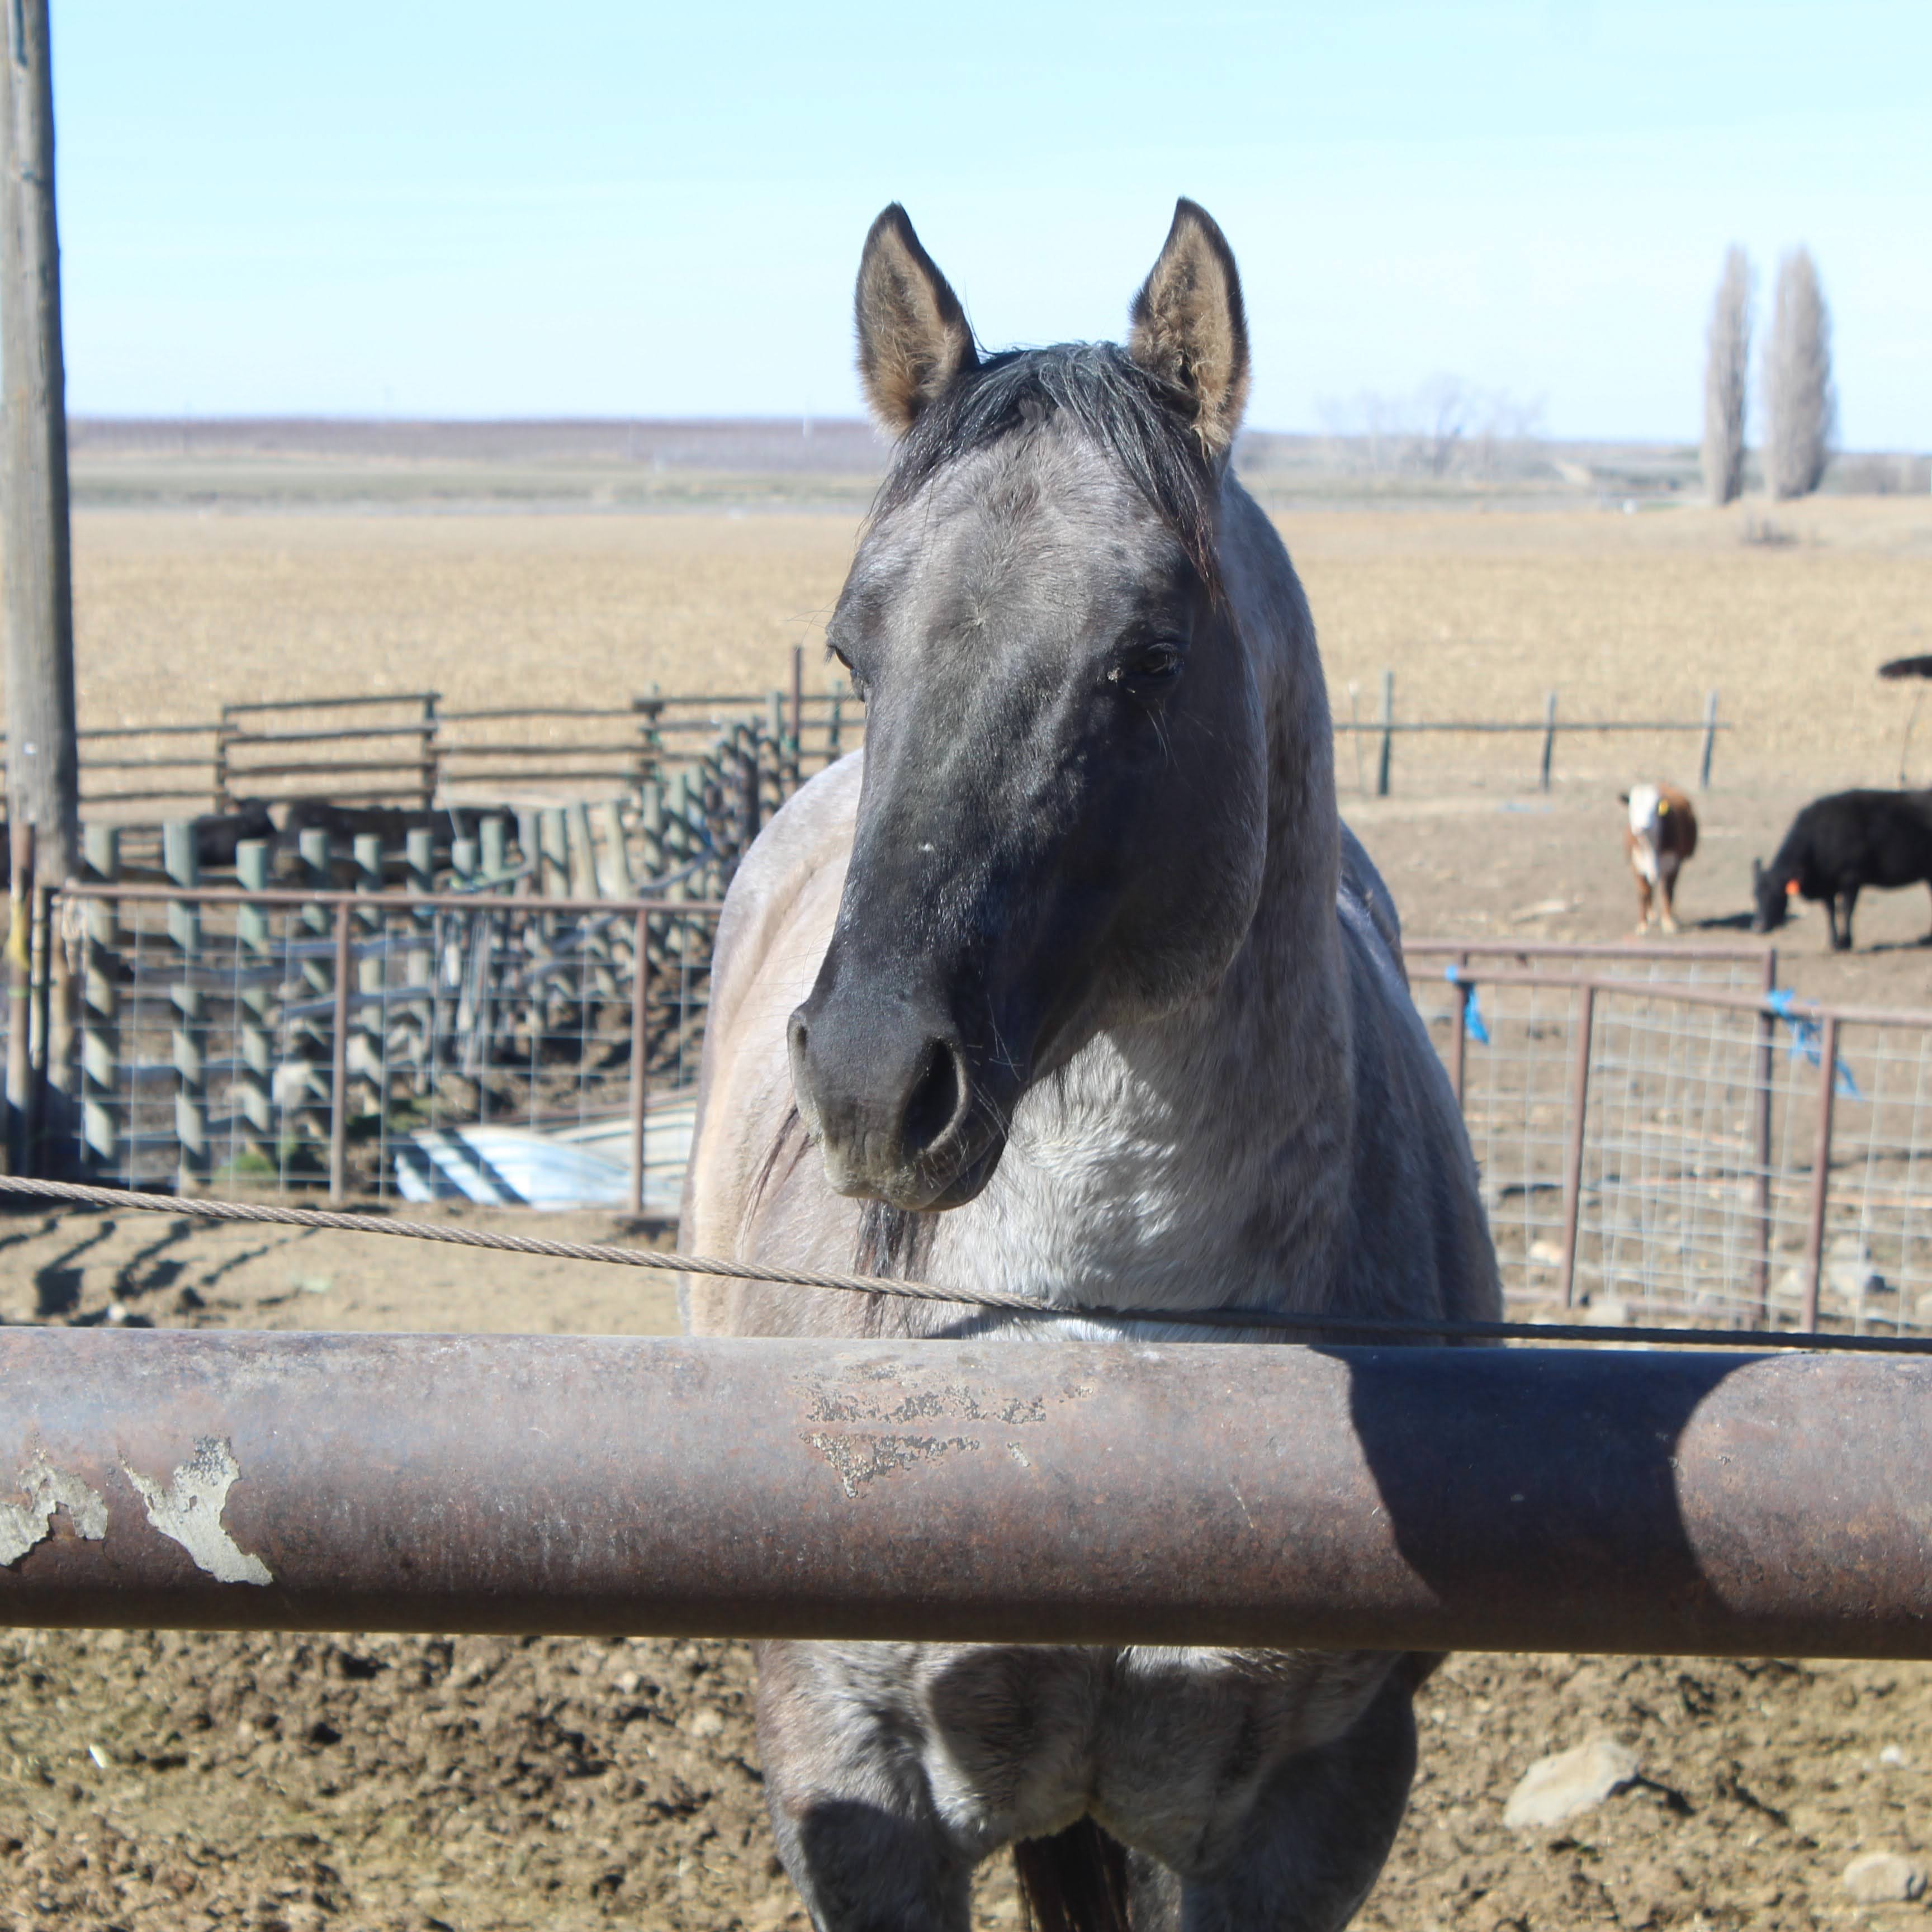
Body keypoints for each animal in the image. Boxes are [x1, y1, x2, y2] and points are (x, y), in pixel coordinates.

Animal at [681, 199, 1500, 1932]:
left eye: (1147, 657)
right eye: (854, 648)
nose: (872, 1076)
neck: (1100, 1347)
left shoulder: (1313, 1810)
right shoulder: (852, 1778)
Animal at [1621, 781, 1698, 934]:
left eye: (1653, 810)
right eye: (1632, 808)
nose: (1641, 827)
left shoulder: (1673, 865)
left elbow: (1668, 892)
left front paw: (1668, 923)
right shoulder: (1637, 865)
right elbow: (1643, 893)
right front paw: (1642, 924)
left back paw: (1673, 916)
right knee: (1650, 889)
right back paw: (1651, 915)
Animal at [1752, 788, 1932, 951]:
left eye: (1778, 894)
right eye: (1755, 895)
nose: (1758, 927)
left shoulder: (1851, 879)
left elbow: (1846, 910)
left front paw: (1846, 942)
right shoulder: (1827, 887)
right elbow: (1831, 912)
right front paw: (1833, 942)